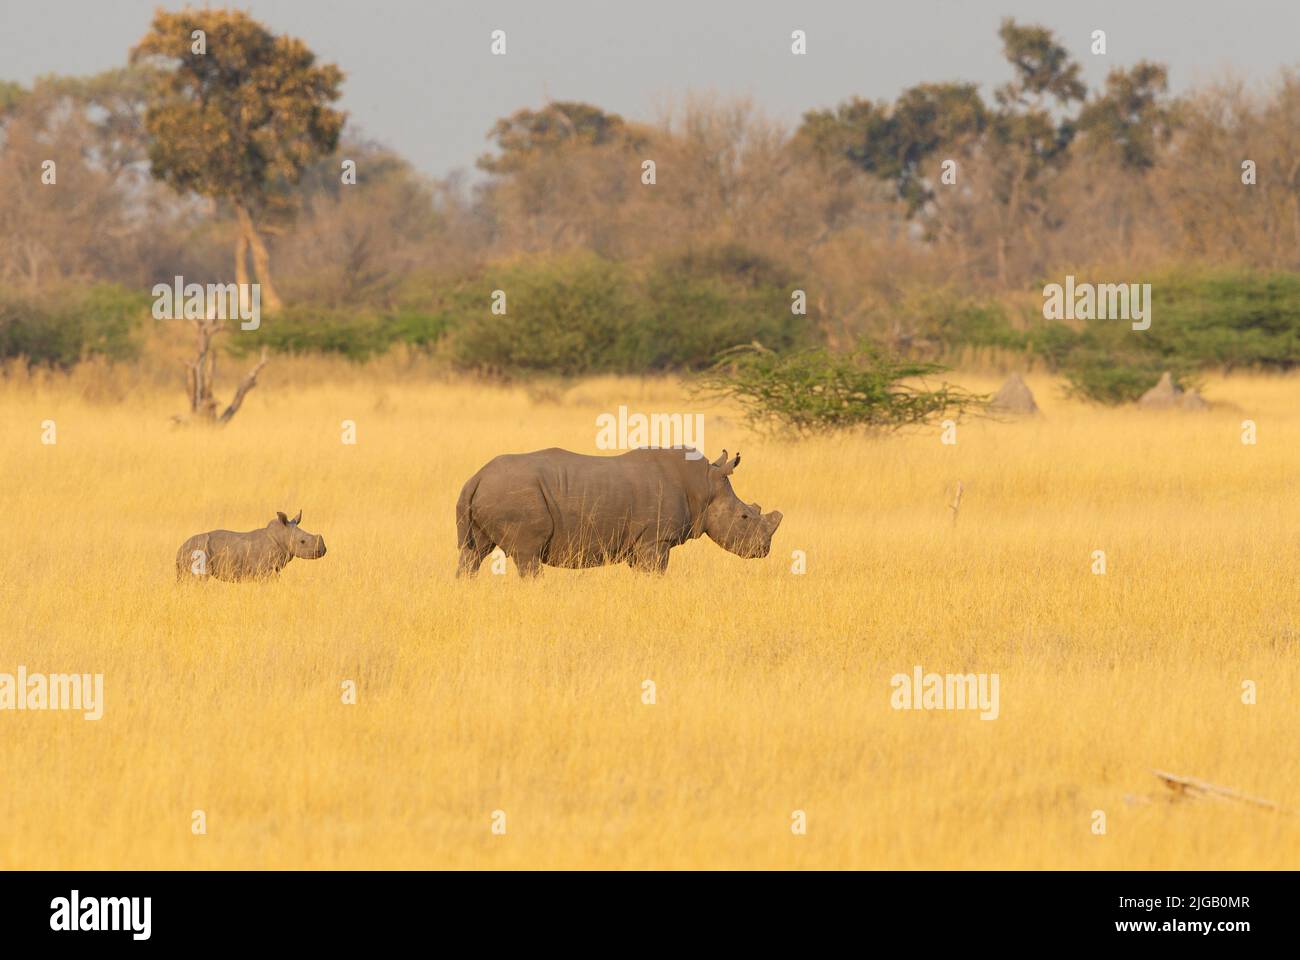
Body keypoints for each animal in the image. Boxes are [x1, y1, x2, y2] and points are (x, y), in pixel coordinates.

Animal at [176, 509, 327, 582]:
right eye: (302, 542)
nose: (323, 550)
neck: (282, 535)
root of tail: (179, 549)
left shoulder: (274, 568)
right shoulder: (264, 569)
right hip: (198, 552)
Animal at [457, 444, 780, 572]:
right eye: (744, 516)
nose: (764, 551)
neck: (704, 486)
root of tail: (476, 477)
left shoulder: (641, 544)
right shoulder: (655, 539)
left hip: (491, 493)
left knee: (472, 554)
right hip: (513, 496)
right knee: (527, 556)